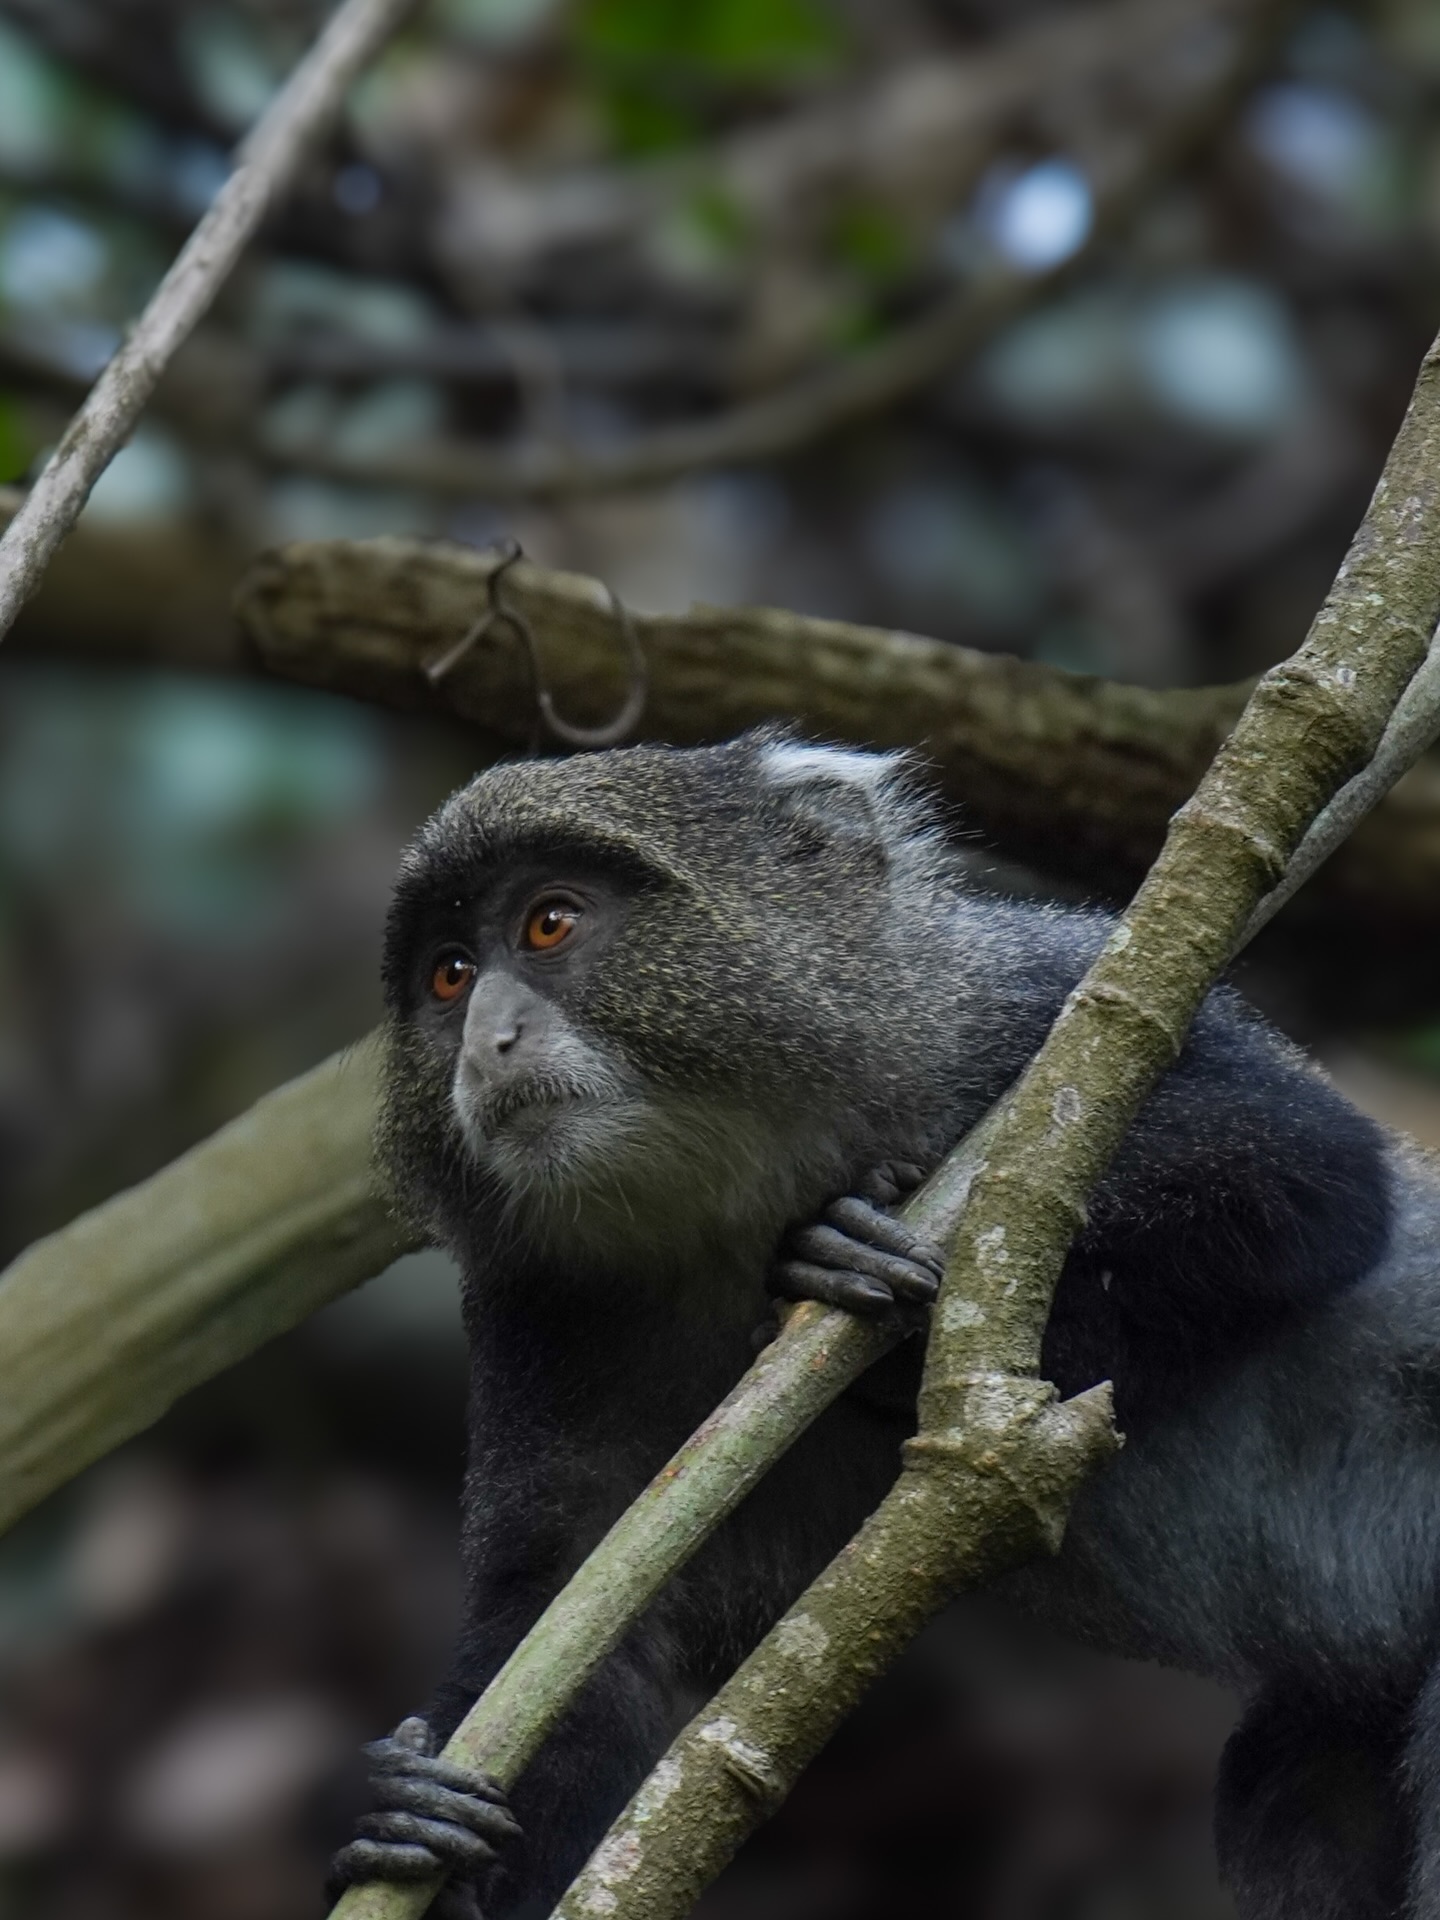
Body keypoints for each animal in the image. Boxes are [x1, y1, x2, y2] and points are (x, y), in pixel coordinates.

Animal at [328, 729, 1434, 1920]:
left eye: (548, 923)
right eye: (448, 974)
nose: (485, 1041)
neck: (739, 1190)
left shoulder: (1045, 1003)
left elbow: (1310, 1179)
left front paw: (882, 1302)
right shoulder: (539, 1312)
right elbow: (582, 1625)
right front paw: (411, 1827)